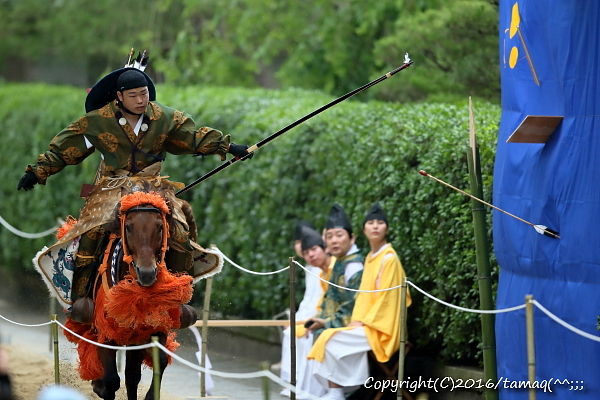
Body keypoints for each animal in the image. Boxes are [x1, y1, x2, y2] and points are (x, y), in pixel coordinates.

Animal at [65, 188, 199, 400]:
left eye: (160, 227)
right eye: (128, 227)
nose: (147, 273)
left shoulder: (151, 327)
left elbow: (152, 366)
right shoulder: (106, 328)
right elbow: (111, 381)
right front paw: (101, 385)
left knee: (131, 374)